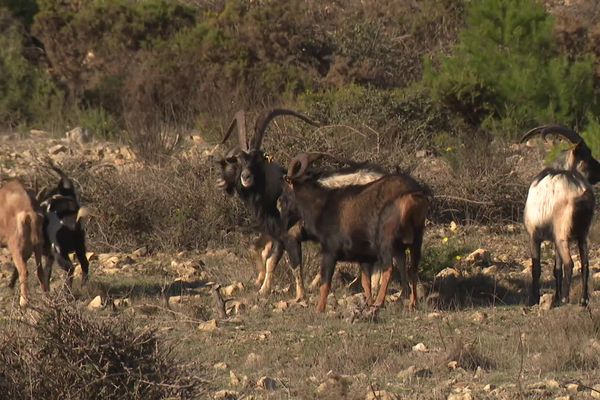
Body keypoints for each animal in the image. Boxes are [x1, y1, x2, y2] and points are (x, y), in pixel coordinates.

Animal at [278, 153, 428, 312]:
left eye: (285, 192)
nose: (284, 228)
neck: (324, 205)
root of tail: (412, 194)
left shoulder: (330, 251)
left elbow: (325, 283)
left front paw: (319, 309)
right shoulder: (364, 256)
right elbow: (366, 282)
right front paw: (367, 302)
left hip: (387, 240)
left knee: (389, 268)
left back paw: (379, 302)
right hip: (416, 238)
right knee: (412, 268)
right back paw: (412, 302)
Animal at [520, 125, 600, 306]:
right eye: (587, 155)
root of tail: (581, 190)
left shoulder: (534, 235)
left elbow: (537, 268)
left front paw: (535, 298)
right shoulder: (555, 239)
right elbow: (557, 269)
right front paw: (555, 297)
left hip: (563, 235)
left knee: (570, 262)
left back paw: (565, 298)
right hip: (581, 235)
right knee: (585, 264)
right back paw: (583, 300)